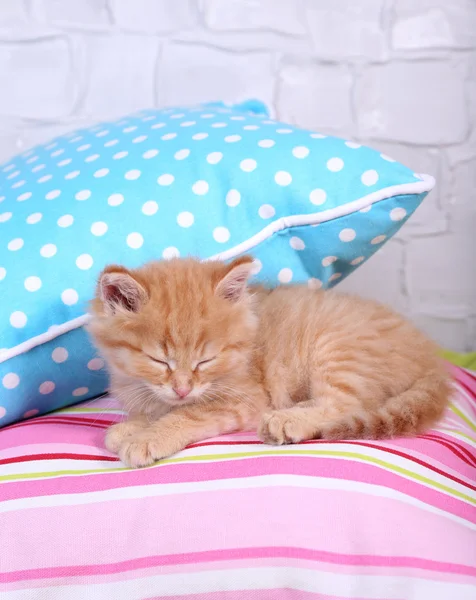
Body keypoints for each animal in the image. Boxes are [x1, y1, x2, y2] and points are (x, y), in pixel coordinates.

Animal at [88, 255, 450, 466]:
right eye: (159, 360)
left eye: (206, 360)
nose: (182, 389)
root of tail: (430, 356)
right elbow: (160, 409)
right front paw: (132, 426)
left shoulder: (244, 398)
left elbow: (188, 414)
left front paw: (147, 438)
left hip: (337, 349)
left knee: (347, 404)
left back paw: (287, 420)